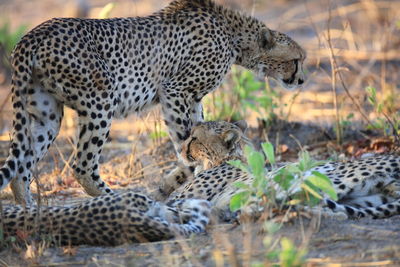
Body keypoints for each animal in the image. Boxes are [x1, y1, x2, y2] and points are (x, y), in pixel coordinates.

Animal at [0, 0, 306, 205]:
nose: (302, 80)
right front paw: (180, 176)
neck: (233, 33)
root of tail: (33, 34)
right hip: (100, 99)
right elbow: (185, 140)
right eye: (297, 59)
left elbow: (198, 132)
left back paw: (31, 216)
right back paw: (118, 201)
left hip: (45, 114)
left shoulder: (191, 97)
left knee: (20, 170)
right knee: (82, 165)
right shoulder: (176, 90)